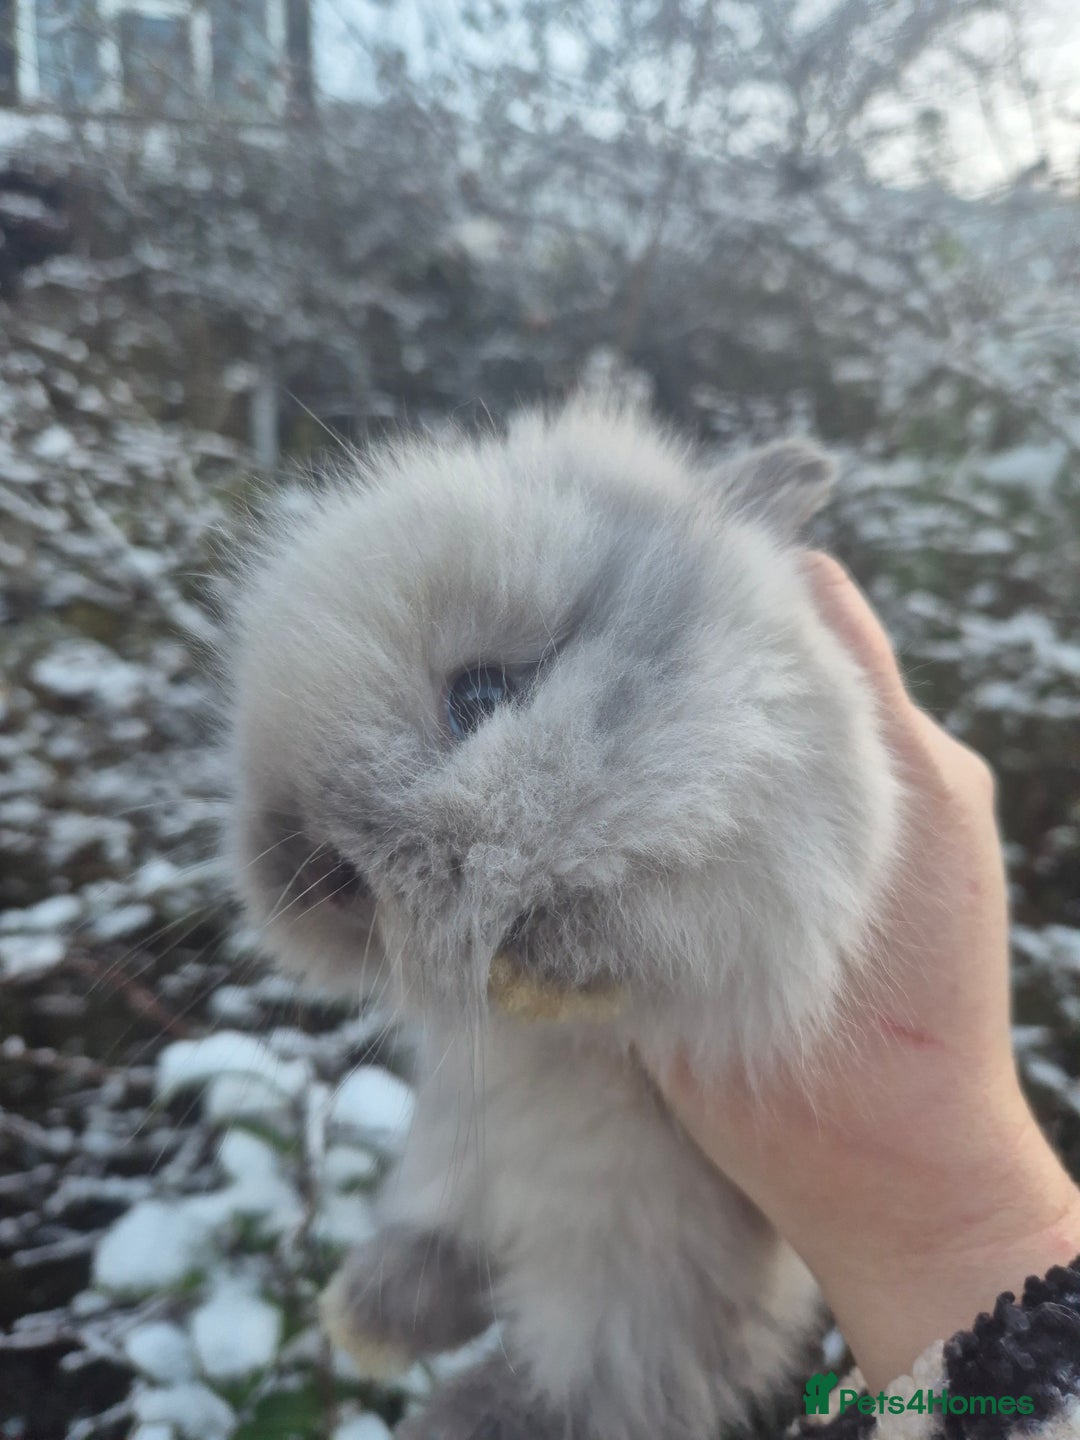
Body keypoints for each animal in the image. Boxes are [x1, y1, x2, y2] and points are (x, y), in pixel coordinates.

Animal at [226, 397, 901, 1440]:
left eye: (481, 697)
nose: (297, 869)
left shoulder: (774, 874)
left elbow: (651, 940)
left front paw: (536, 977)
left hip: (635, 1279)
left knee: (583, 1388)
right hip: (453, 1156)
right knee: (451, 1258)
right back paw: (362, 1320)